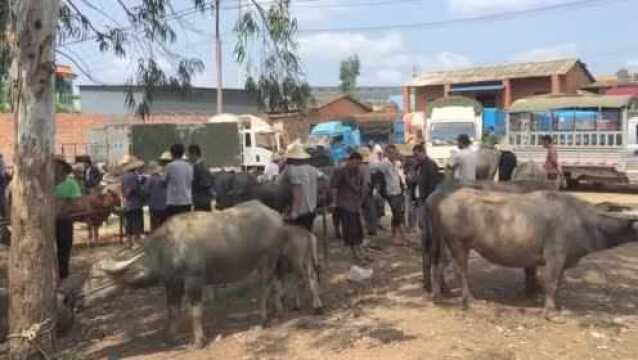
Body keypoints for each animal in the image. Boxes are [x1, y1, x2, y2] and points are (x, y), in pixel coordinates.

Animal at [74, 201, 324, 348]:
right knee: (276, 283)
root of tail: (275, 215)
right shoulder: (172, 284)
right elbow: (172, 311)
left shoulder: (194, 281)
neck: (167, 247)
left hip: (268, 260)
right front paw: (171, 338)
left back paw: (265, 317)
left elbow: (195, 312)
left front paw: (198, 341)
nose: (77, 300)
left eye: (96, 278)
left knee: (268, 285)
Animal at [430, 188, 638, 318]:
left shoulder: (563, 261)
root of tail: (445, 200)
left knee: (438, 265)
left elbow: (559, 283)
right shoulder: (554, 257)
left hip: (448, 244)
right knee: (461, 271)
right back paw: (468, 300)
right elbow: (551, 283)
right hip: (458, 245)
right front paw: (549, 311)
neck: (582, 221)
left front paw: (557, 306)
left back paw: (438, 296)